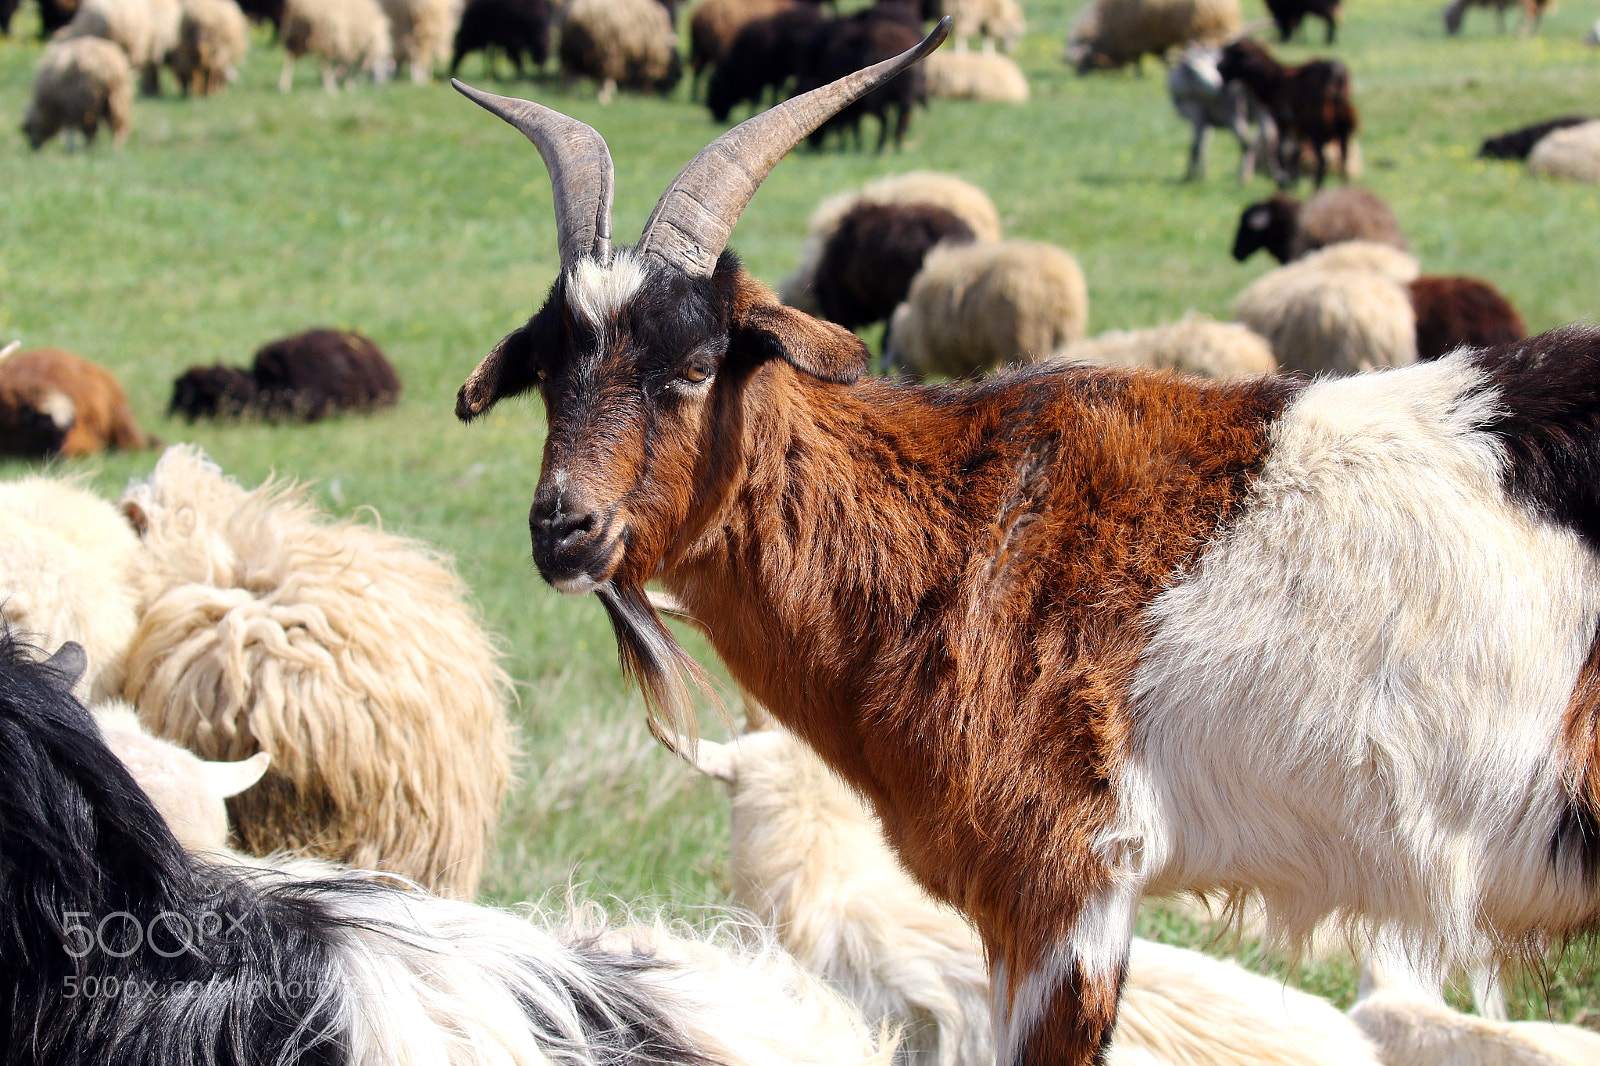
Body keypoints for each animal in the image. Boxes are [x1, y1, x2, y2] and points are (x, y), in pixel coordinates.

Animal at [1218, 37, 1356, 188]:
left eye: (1234, 54)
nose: (1219, 67)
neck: (1273, 80)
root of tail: (1337, 74)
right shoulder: (1297, 126)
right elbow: (1296, 153)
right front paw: (1294, 182)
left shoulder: (1282, 121)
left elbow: (1279, 150)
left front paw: (1283, 180)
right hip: (1343, 129)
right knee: (1344, 158)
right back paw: (1344, 186)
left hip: (1318, 128)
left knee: (1322, 160)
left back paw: (1317, 188)